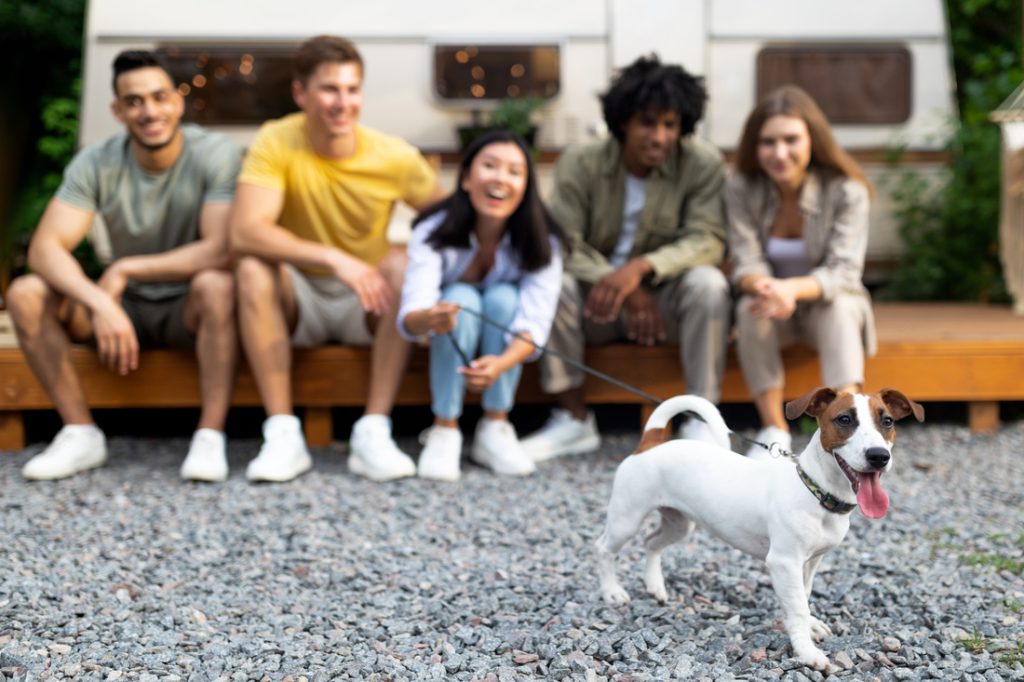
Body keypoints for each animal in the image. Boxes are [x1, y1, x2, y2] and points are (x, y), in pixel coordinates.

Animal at [598, 387, 925, 667]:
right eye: (844, 419)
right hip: (626, 519)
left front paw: (810, 627)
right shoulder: (784, 562)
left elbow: (803, 596)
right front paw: (807, 652)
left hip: (679, 524)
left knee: (651, 543)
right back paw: (612, 592)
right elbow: (797, 606)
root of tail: (650, 442)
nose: (879, 456)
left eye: (887, 421)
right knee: (604, 549)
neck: (814, 490)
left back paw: (655, 585)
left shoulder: (810, 562)